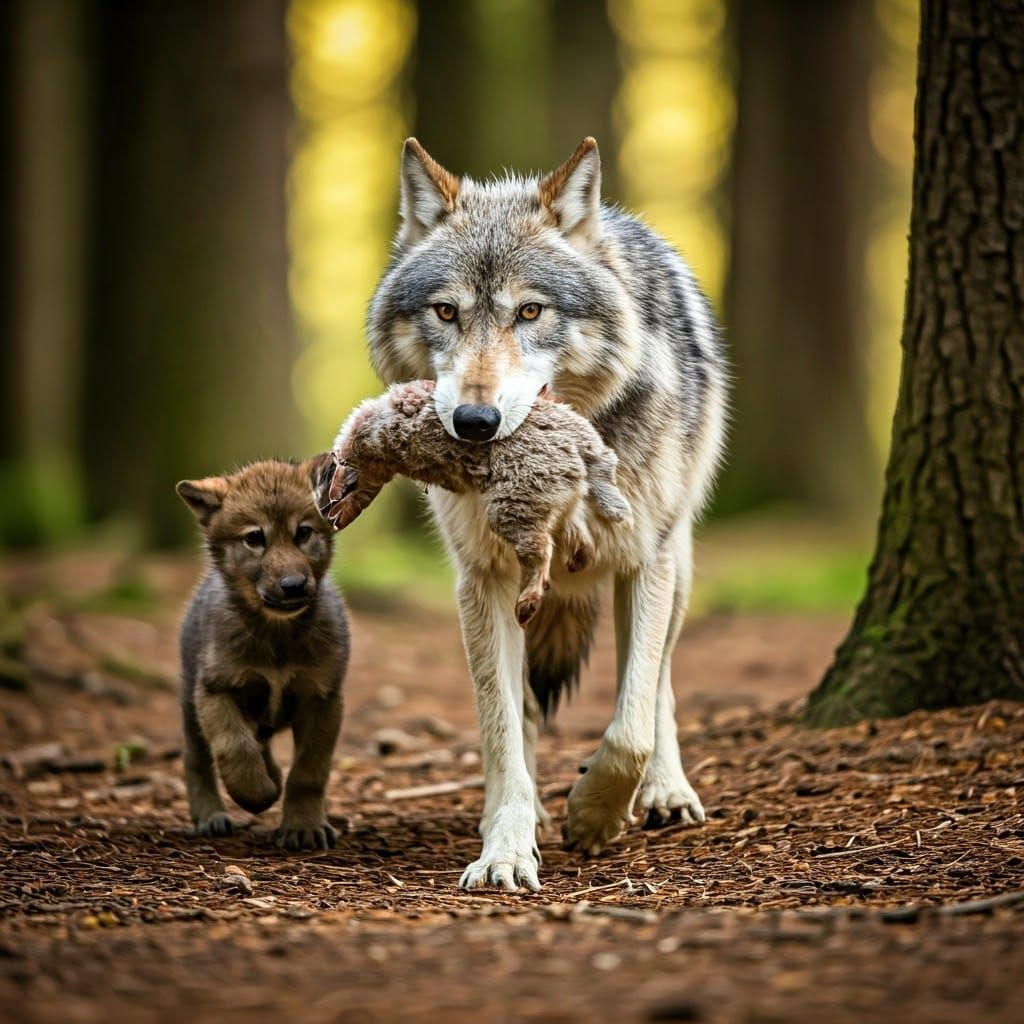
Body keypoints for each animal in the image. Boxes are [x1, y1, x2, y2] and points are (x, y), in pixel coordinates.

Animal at [177, 458, 350, 850]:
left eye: (303, 533)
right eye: (254, 538)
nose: (293, 586)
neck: (277, 635)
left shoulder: (322, 698)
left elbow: (308, 771)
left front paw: (303, 826)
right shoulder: (216, 689)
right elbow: (233, 746)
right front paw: (255, 794)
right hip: (190, 706)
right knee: (197, 759)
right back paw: (210, 815)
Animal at [367, 137, 727, 891]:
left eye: (529, 313)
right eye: (446, 312)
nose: (475, 422)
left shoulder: (643, 561)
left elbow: (630, 725)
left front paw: (592, 814)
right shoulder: (483, 580)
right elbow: (502, 730)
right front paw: (505, 847)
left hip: (676, 562)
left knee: (659, 686)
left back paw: (666, 791)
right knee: (526, 710)